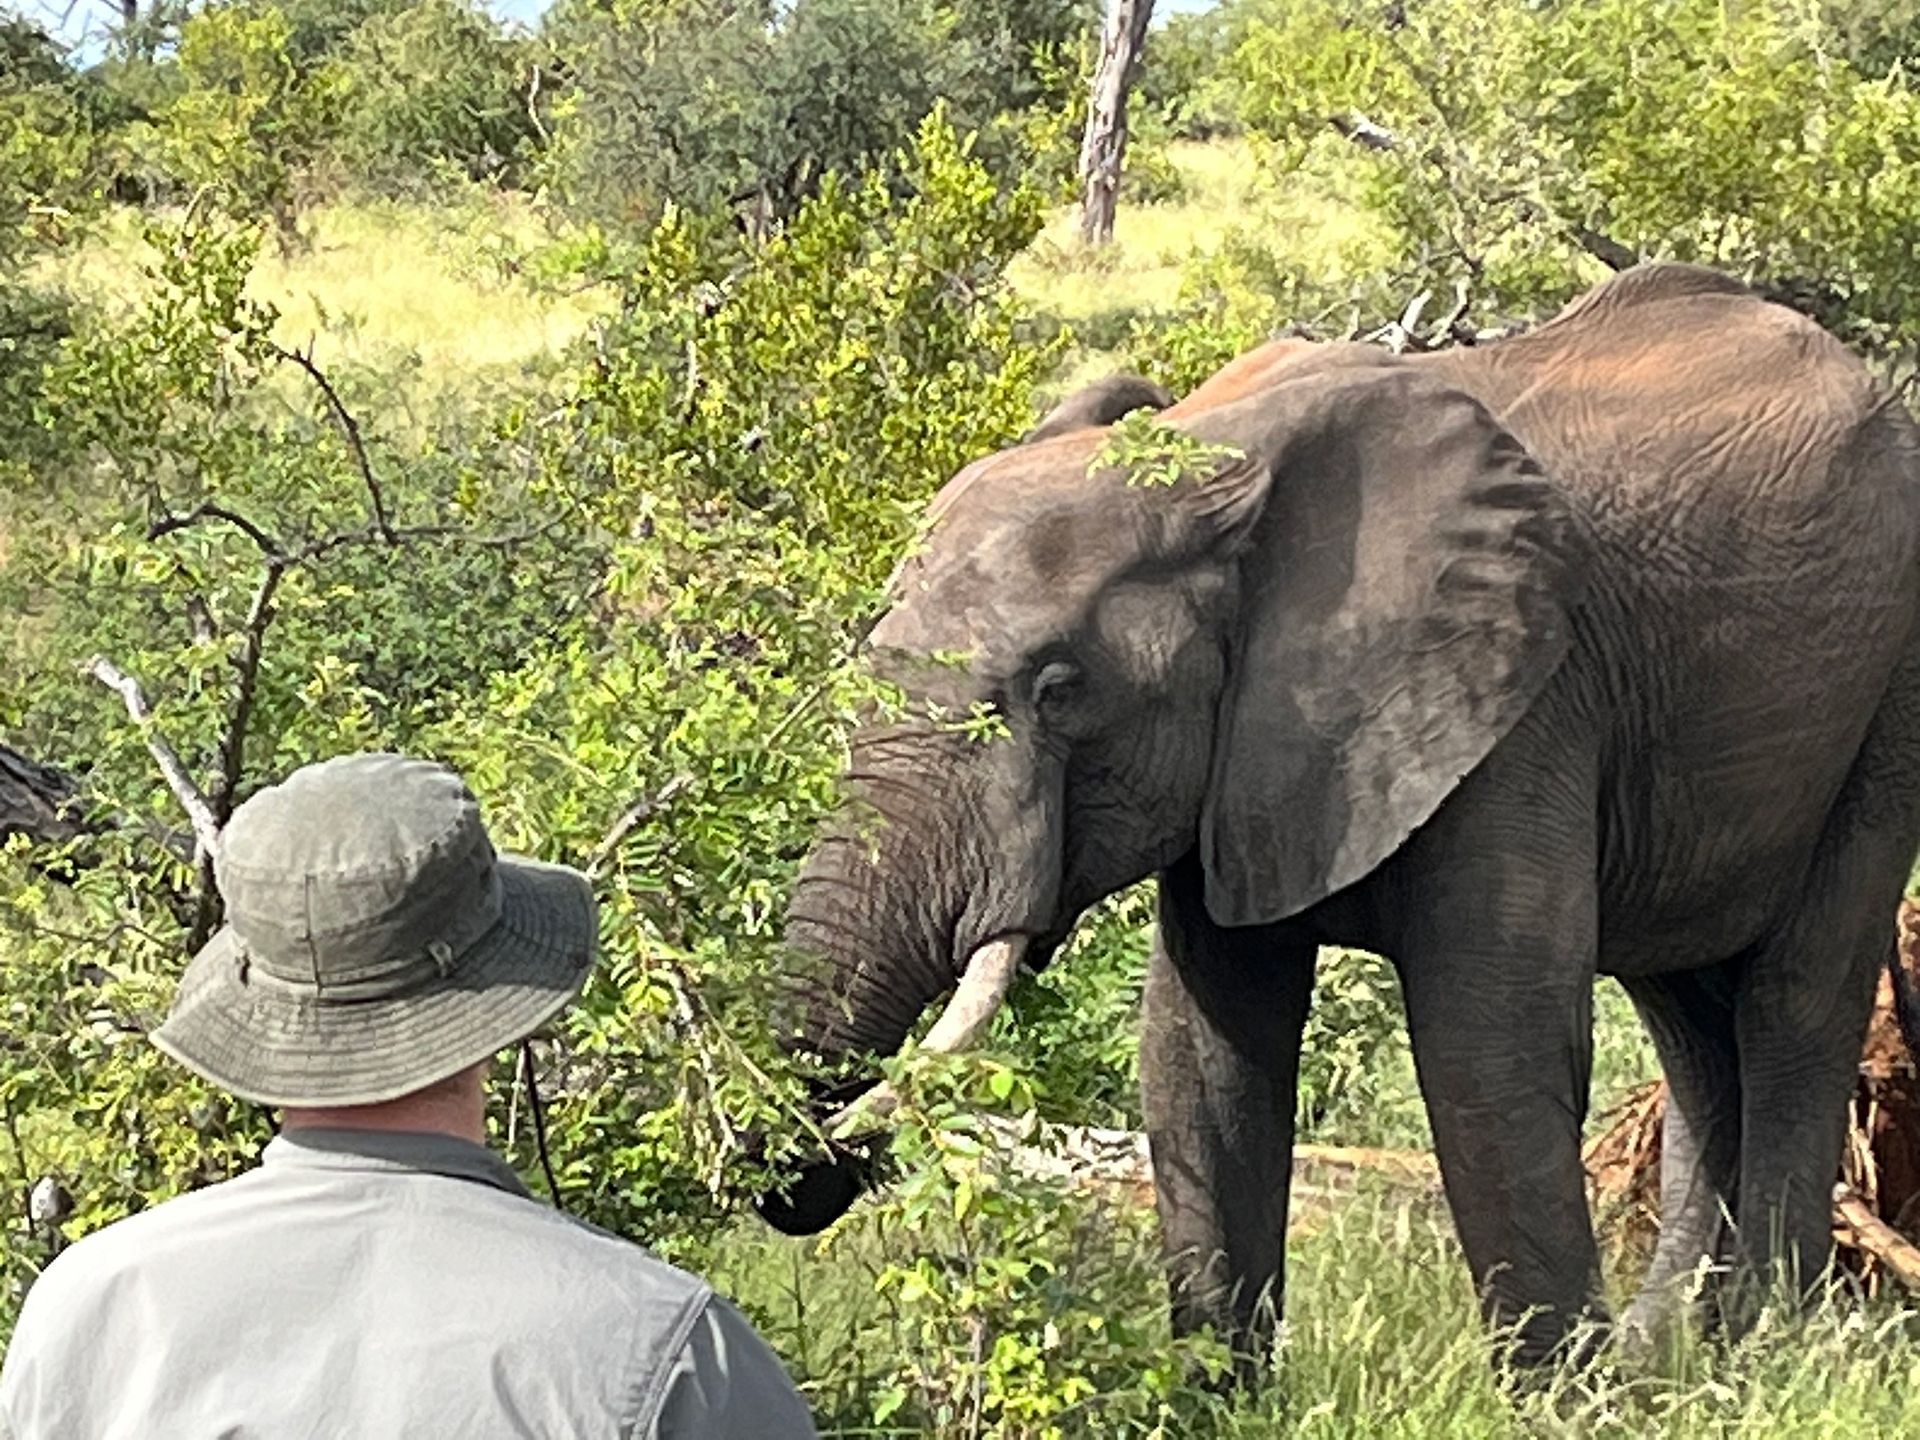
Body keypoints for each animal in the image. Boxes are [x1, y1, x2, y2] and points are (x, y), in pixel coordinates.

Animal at [756, 262, 1920, 1370]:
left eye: (1058, 688)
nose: (808, 1176)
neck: (1211, 455)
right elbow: (1199, 1058)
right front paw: (1219, 1401)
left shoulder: (1520, 705)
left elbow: (1488, 1045)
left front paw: (1560, 1402)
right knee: (1687, 1020)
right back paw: (1670, 1364)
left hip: (1883, 710)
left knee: (1793, 1006)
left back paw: (1758, 1349)